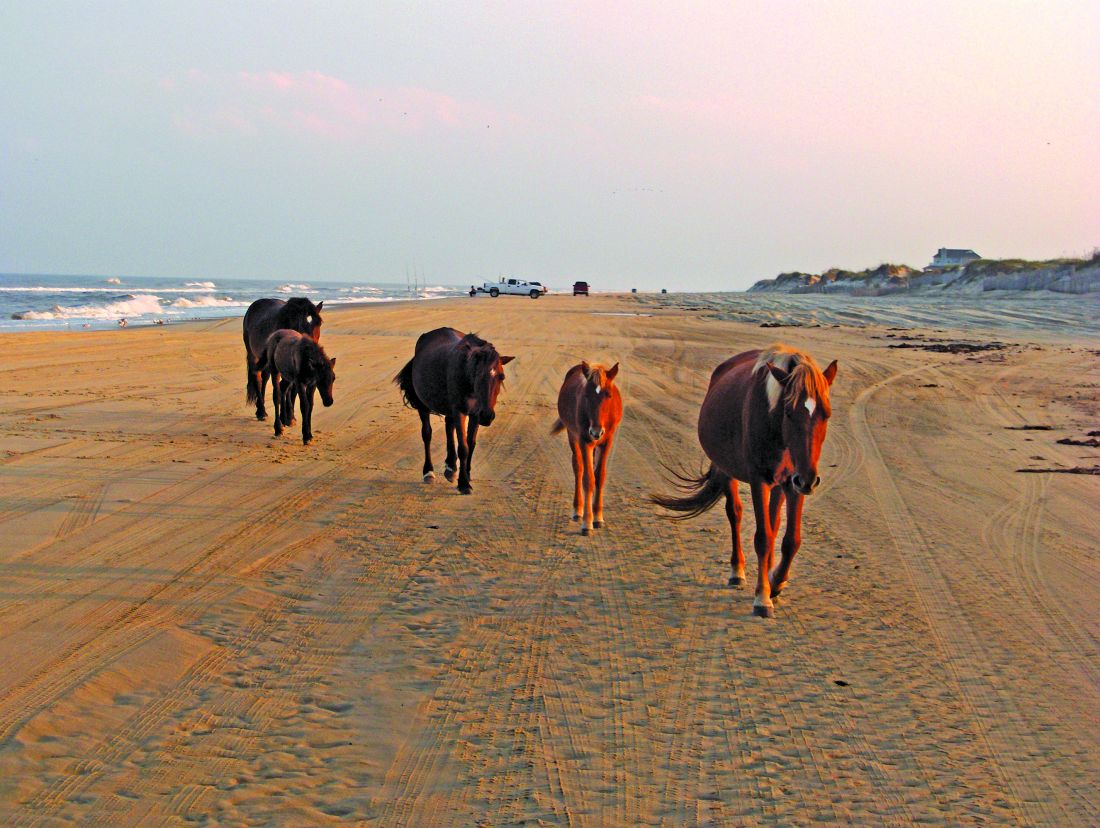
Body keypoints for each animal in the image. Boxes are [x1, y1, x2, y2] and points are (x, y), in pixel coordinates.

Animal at [396, 327, 514, 497]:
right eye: (477, 375)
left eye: (501, 377)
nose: (487, 416)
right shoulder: (460, 412)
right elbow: (463, 447)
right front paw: (464, 483)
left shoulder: (474, 414)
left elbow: (471, 443)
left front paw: (467, 475)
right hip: (423, 407)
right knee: (427, 434)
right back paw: (429, 472)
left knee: (448, 427)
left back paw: (451, 467)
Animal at [547, 362, 620, 536]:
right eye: (586, 395)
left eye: (608, 395)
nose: (596, 432)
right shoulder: (584, 440)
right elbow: (588, 479)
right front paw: (587, 523)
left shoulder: (607, 441)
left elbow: (599, 476)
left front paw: (598, 517)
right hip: (572, 435)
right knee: (578, 468)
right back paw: (577, 510)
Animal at [651, 343, 840, 615]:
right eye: (789, 413)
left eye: (826, 414)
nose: (809, 479)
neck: (774, 426)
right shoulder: (760, 480)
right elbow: (762, 538)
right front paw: (762, 598)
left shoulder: (793, 484)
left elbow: (790, 540)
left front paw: (776, 582)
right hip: (727, 470)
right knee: (736, 514)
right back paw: (737, 572)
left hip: (782, 484)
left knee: (773, 522)